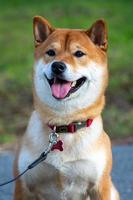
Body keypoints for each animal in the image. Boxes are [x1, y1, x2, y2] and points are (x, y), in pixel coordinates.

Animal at [13, 16, 119, 200]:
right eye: (50, 53)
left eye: (79, 54)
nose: (57, 66)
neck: (64, 124)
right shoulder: (23, 186)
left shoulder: (100, 186)